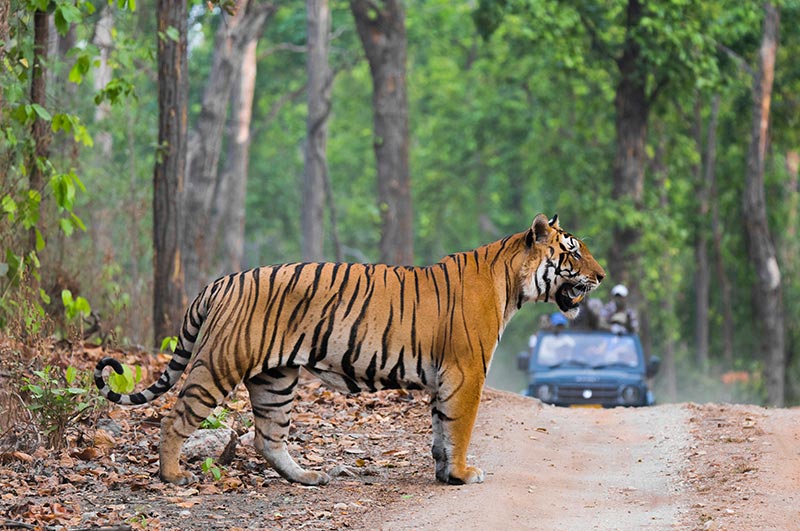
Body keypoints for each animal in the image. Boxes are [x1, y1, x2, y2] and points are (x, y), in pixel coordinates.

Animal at [94, 215, 604, 486]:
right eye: (573, 252)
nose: (601, 276)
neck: (512, 284)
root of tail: (220, 280)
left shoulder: (447, 378)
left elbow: (441, 430)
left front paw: (444, 473)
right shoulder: (466, 373)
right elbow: (459, 429)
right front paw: (462, 475)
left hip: (275, 380)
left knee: (268, 437)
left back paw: (306, 477)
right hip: (220, 364)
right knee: (175, 418)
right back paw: (173, 476)